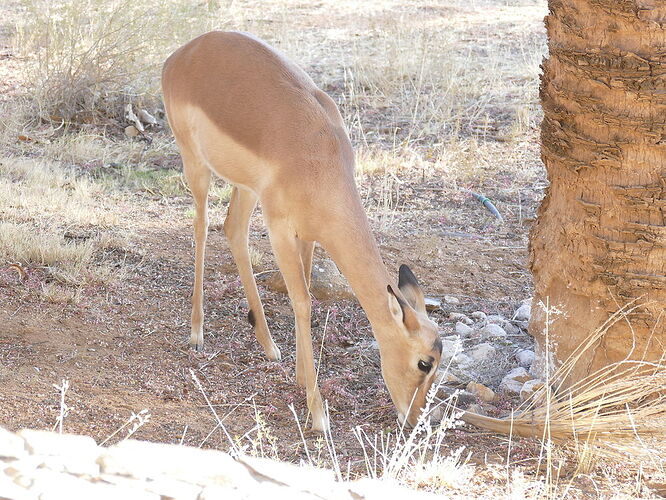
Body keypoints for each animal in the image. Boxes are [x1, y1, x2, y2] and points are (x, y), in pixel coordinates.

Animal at [161, 30, 440, 430]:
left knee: (232, 228)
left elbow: (305, 290)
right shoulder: (279, 229)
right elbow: (303, 302)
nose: (416, 419)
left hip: (247, 189)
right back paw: (197, 334)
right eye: (423, 362)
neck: (319, 157)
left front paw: (300, 375)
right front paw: (318, 412)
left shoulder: (308, 234)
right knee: (200, 228)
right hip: (196, 166)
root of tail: (183, 53)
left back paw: (268, 344)